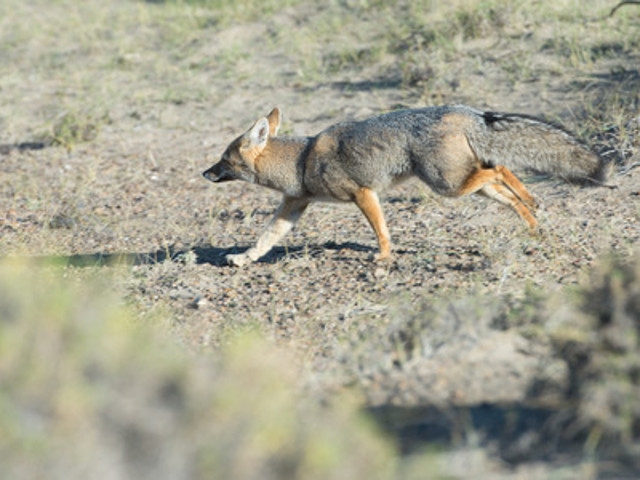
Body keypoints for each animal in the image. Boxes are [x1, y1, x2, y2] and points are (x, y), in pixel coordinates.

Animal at [203, 105, 610, 267]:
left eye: (223, 159)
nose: (205, 173)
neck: (301, 160)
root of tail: (468, 110)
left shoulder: (363, 193)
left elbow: (381, 230)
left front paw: (384, 257)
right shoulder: (293, 207)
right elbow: (265, 238)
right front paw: (243, 258)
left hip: (447, 184)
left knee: (498, 169)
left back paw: (534, 202)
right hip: (464, 184)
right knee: (502, 175)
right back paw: (533, 218)